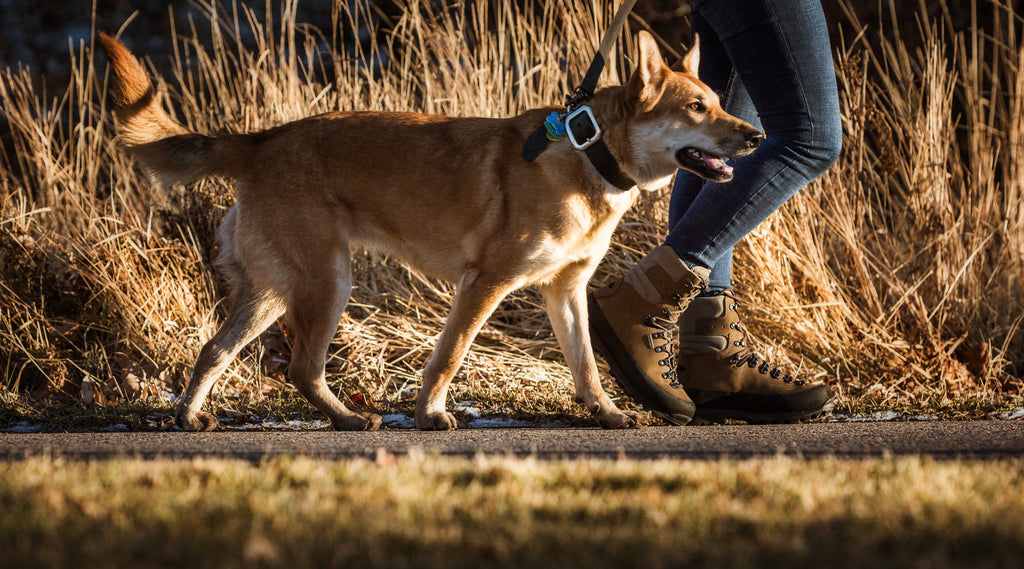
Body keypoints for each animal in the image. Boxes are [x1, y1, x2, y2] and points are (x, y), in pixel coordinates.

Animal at [99, 28, 765, 429]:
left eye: (717, 101)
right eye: (696, 108)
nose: (757, 135)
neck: (589, 154)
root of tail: (262, 140)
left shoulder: (566, 291)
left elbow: (585, 365)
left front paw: (605, 413)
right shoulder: (485, 282)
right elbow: (449, 355)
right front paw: (428, 414)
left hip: (273, 291)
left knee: (215, 351)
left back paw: (191, 417)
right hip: (326, 283)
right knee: (301, 367)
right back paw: (348, 419)